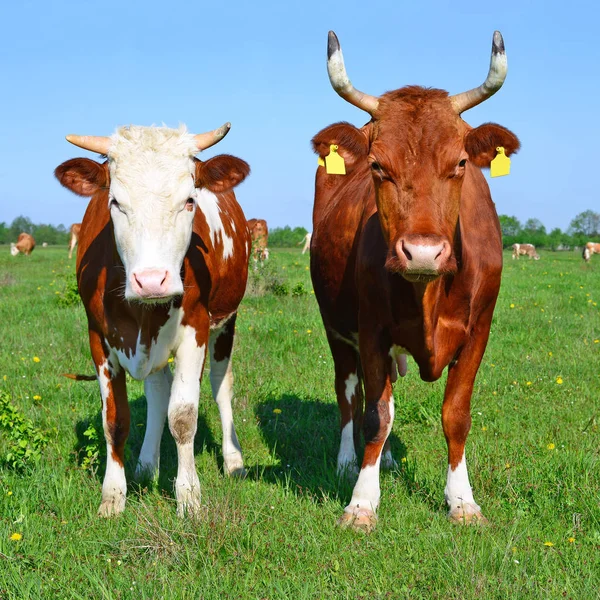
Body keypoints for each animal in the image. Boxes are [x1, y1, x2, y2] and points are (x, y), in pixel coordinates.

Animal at [55, 123, 252, 516]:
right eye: (115, 202)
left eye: (189, 200)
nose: (150, 281)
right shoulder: (99, 337)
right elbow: (115, 420)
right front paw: (113, 496)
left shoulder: (196, 331)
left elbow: (183, 417)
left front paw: (189, 497)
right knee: (159, 391)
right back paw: (147, 465)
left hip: (226, 323)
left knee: (221, 385)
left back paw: (233, 459)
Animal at [310, 30, 520, 532]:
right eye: (377, 165)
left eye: (461, 162)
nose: (422, 252)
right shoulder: (370, 330)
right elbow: (374, 415)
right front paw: (362, 502)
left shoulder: (479, 330)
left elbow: (455, 415)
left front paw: (462, 501)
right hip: (335, 328)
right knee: (350, 392)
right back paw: (350, 461)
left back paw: (385, 460)